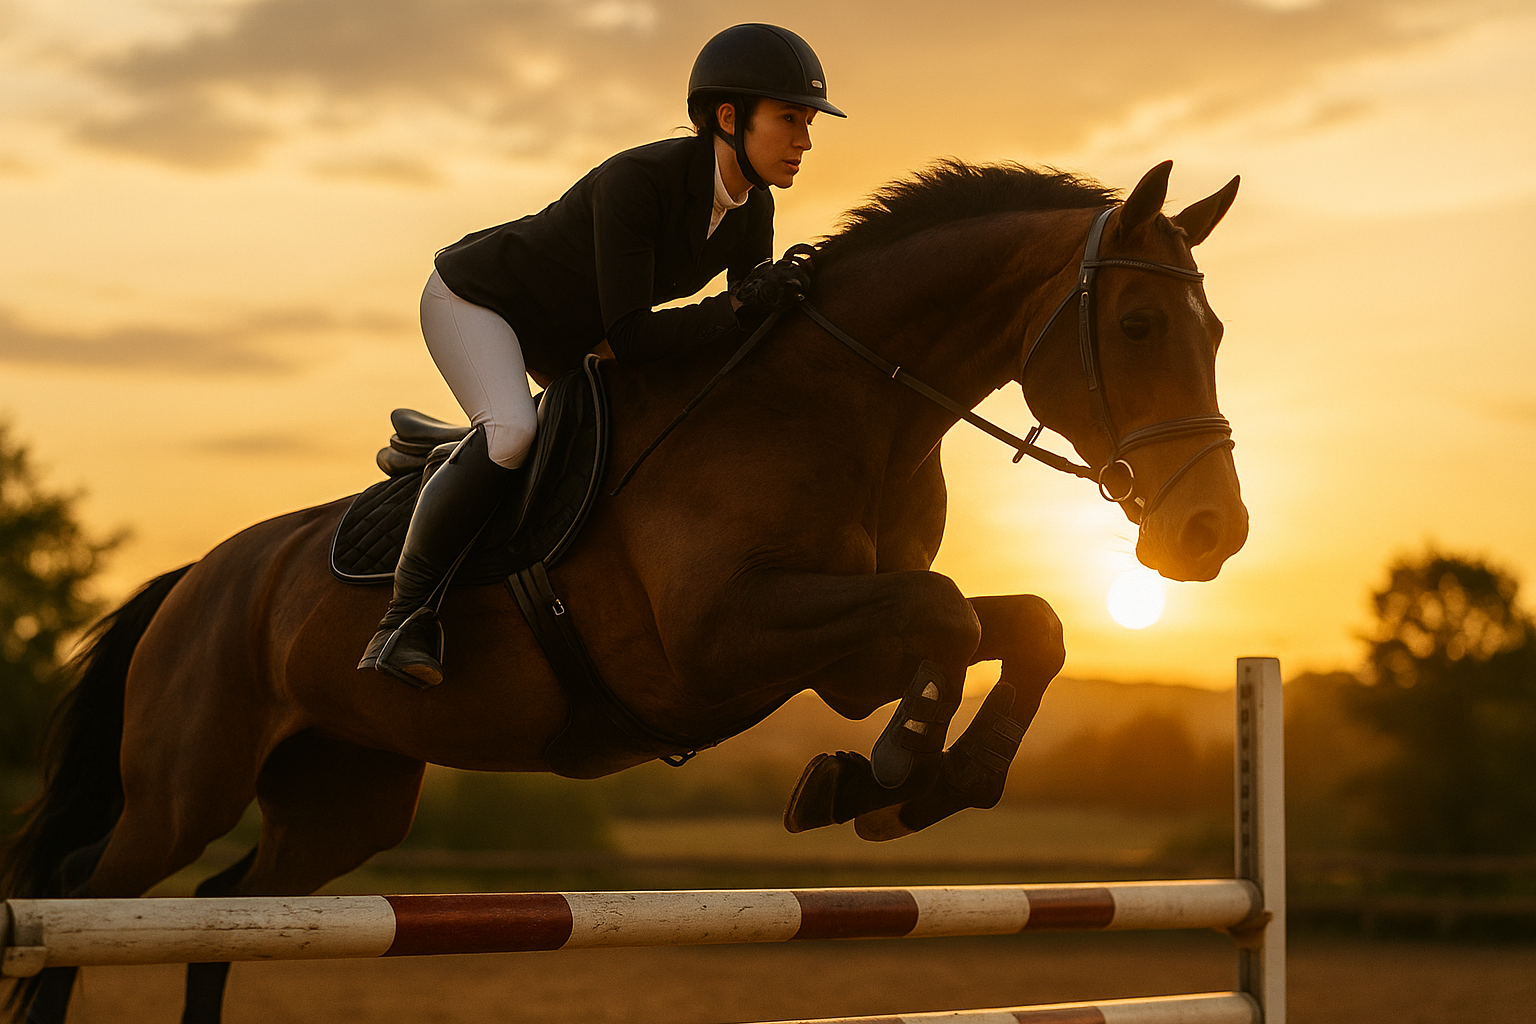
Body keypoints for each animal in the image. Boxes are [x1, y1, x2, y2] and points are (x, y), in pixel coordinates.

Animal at [2, 159, 1247, 1024]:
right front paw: (886, 776)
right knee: (80, 897)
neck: (847, 404)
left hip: (345, 795)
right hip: (185, 781)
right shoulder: (722, 642)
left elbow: (1024, 626)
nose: (1212, 534)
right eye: (1138, 325)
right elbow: (947, 611)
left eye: (1219, 329)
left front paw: (916, 783)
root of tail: (203, 577)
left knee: (225, 912)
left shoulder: (842, 653)